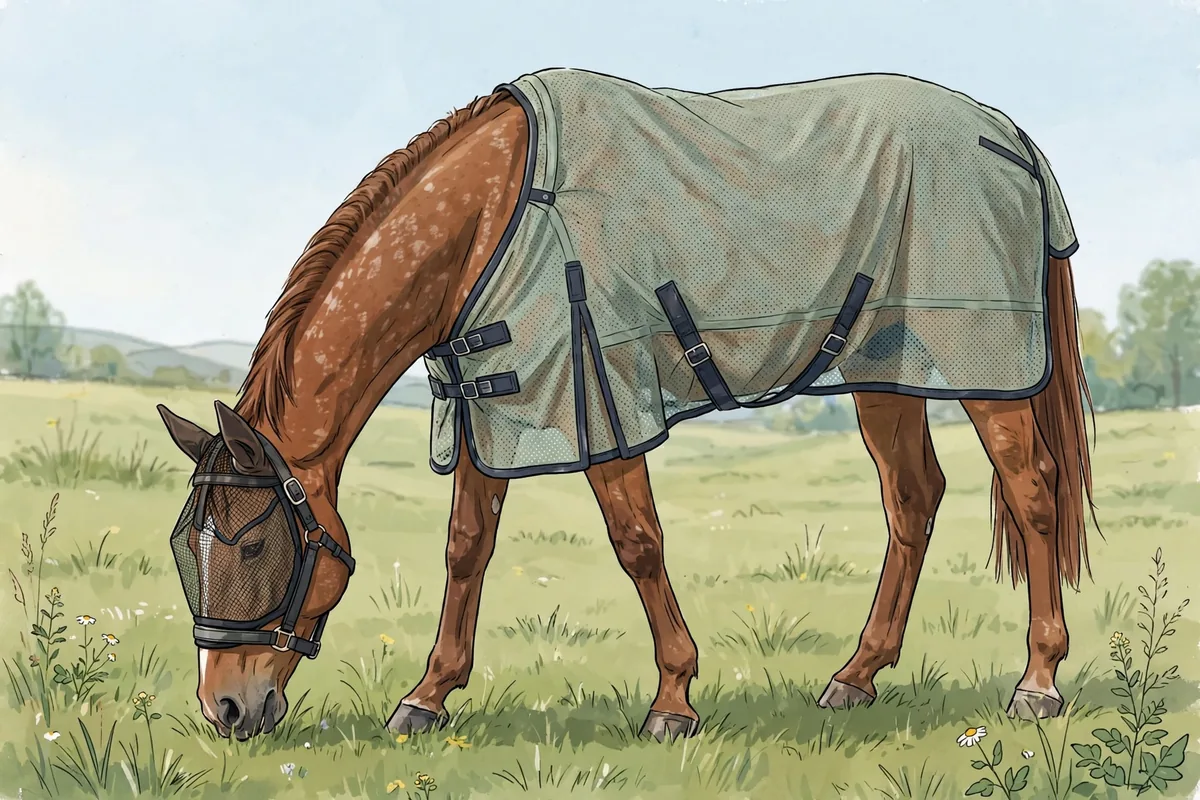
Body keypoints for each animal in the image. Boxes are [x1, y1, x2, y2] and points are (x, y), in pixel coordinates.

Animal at [157, 69, 1096, 742]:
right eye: (183, 546)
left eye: (252, 544)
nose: (224, 711)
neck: (491, 218)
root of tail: (1007, 135)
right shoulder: (492, 406)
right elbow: (466, 549)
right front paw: (428, 696)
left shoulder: (599, 401)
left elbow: (638, 544)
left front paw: (673, 700)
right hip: (881, 372)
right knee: (912, 499)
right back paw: (856, 676)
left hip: (983, 370)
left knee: (1032, 491)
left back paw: (1039, 682)